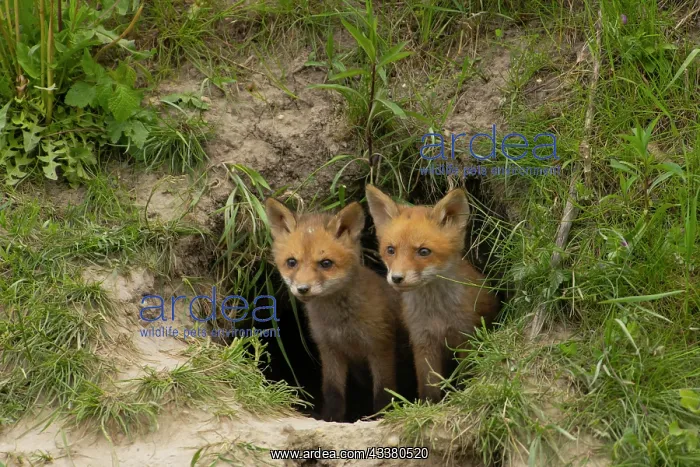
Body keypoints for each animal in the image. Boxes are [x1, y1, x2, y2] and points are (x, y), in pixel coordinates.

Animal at [265, 197, 402, 422]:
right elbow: (332, 392)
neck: (341, 326)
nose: (302, 289)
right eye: (291, 262)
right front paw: (330, 418)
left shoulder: (381, 347)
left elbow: (384, 391)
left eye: (326, 263)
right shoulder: (329, 349)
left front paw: (381, 417)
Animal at [364, 184, 500, 403]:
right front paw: (430, 404)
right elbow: (429, 385)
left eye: (423, 251)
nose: (396, 278)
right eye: (390, 250)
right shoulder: (423, 341)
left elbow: (465, 374)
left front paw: (461, 392)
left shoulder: (466, 336)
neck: (437, 316)